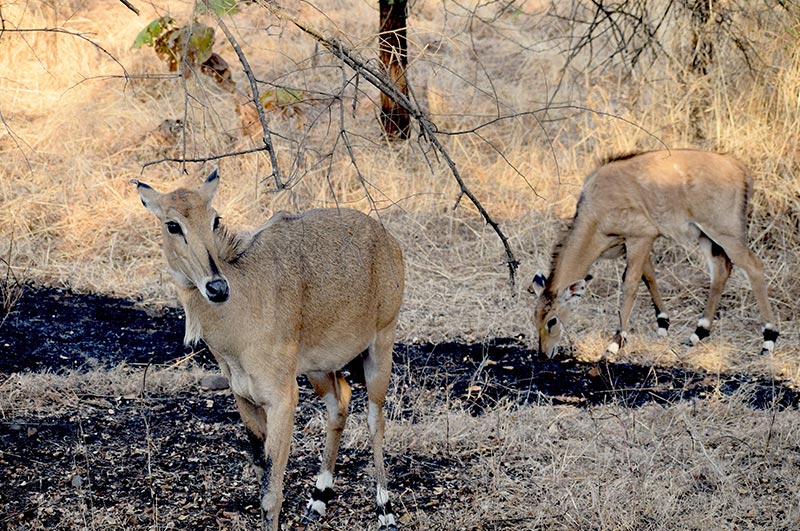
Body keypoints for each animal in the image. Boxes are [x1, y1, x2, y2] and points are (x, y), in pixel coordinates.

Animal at [134, 170, 406, 531]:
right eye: (172, 225)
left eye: (214, 219)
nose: (216, 287)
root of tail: (388, 238)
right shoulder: (244, 398)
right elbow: (262, 471)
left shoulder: (281, 399)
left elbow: (271, 494)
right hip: (319, 366)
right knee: (340, 403)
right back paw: (318, 499)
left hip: (381, 345)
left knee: (376, 418)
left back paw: (384, 510)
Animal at [528, 148, 780, 360]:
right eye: (535, 316)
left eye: (552, 321)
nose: (543, 354)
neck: (594, 210)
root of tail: (739, 168)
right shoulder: (632, 244)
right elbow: (648, 276)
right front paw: (662, 324)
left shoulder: (640, 237)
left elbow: (630, 283)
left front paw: (615, 344)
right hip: (706, 236)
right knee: (721, 270)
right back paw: (697, 333)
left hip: (725, 232)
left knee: (754, 266)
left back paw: (768, 339)